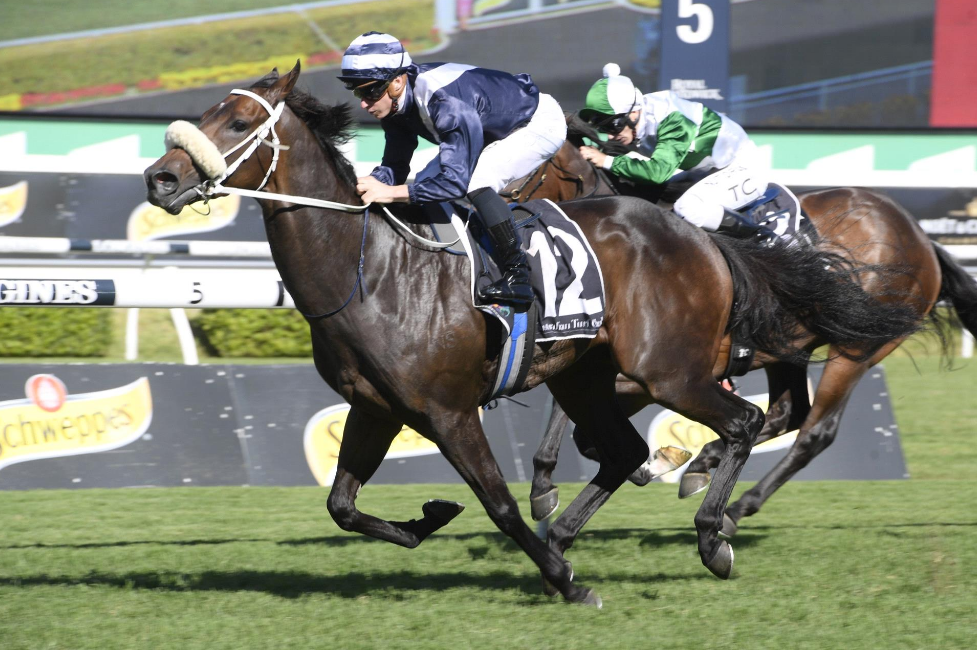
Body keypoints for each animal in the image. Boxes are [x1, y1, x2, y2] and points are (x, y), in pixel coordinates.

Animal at [143, 62, 921, 605]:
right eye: (207, 112)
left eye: (237, 121)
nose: (160, 179)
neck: (372, 272)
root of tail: (701, 238)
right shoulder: (375, 407)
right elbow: (342, 506)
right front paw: (431, 516)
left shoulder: (448, 410)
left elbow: (499, 502)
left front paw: (567, 578)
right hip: (590, 373)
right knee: (633, 447)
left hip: (672, 369)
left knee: (750, 421)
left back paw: (714, 531)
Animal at [521, 114, 977, 536]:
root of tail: (919, 236)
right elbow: (579, 422)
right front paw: (556, 478)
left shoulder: (656, 373)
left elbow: (577, 418)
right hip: (789, 349)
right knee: (788, 413)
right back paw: (704, 467)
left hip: (856, 351)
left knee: (815, 431)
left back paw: (736, 507)